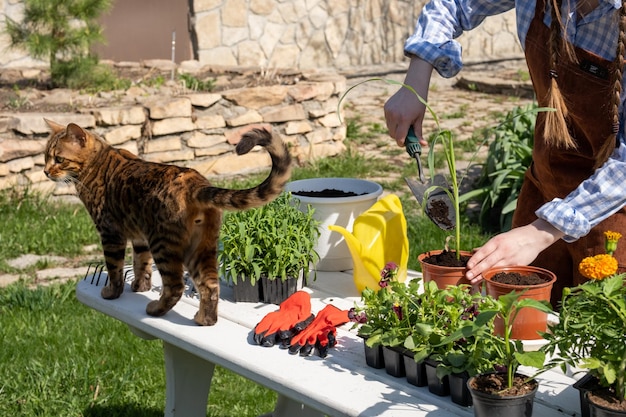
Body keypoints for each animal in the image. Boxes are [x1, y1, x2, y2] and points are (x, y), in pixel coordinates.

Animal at [44, 120, 292, 324]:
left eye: (59, 159)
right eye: (45, 156)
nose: (45, 172)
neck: (97, 162)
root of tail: (197, 184)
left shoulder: (111, 233)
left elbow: (115, 269)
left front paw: (113, 293)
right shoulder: (139, 236)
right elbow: (141, 264)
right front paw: (140, 287)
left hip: (163, 244)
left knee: (175, 287)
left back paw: (156, 310)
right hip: (201, 247)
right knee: (210, 285)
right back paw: (204, 320)